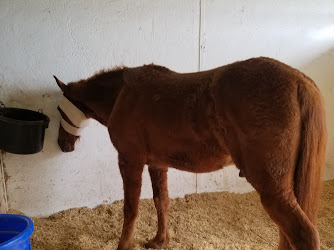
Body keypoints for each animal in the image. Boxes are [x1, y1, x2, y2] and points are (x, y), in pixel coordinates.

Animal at [54, 57, 326, 250]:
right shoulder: (157, 164)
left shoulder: (130, 161)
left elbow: (131, 209)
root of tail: (299, 81)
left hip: (274, 189)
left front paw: (124, 245)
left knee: (304, 235)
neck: (123, 94)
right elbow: (161, 201)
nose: (63, 145)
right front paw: (159, 240)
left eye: (60, 110)